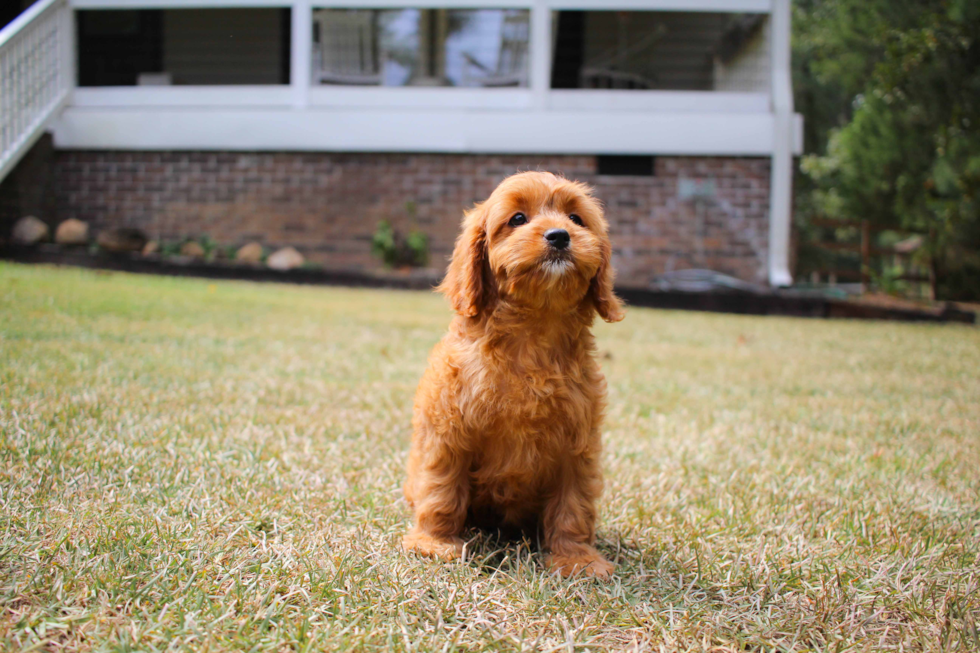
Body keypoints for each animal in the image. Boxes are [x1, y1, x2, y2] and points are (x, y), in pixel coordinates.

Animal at [404, 171, 620, 580]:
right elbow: (441, 486)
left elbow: (574, 503)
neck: (533, 333)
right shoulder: (449, 428)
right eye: (518, 219)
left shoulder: (578, 442)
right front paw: (434, 543)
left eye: (576, 219)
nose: (559, 235)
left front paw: (576, 558)